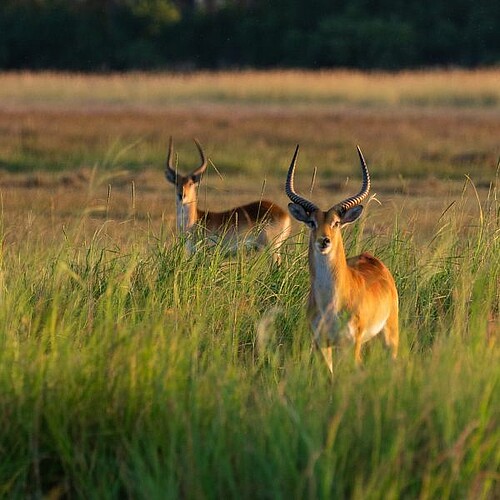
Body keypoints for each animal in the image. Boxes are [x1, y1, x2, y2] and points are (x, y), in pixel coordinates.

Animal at [164, 137, 292, 262]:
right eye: (176, 182)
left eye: (190, 183)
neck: (195, 220)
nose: (182, 195)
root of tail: (283, 213)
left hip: (271, 249)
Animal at [286, 145, 398, 372]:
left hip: (390, 334)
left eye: (336, 222)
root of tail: (373, 260)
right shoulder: (321, 343)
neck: (331, 303)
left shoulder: (351, 344)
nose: (324, 241)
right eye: (311, 222)